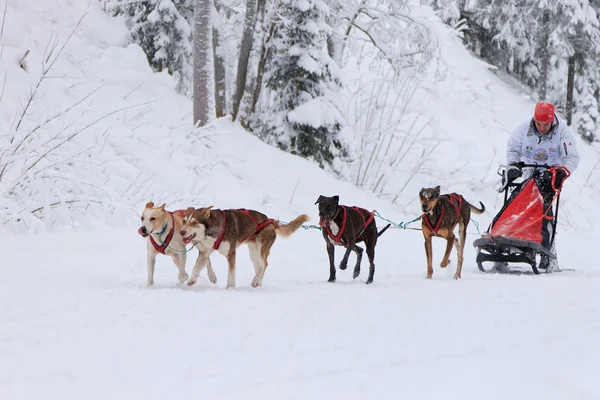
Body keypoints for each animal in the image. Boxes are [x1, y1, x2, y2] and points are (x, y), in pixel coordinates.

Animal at [178, 206, 310, 288]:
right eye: (184, 221)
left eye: (194, 222)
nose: (181, 232)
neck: (211, 231)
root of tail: (270, 221)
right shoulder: (205, 252)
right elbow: (197, 267)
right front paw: (192, 280)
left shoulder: (231, 253)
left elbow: (231, 273)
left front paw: (230, 288)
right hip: (253, 253)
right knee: (259, 266)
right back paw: (258, 281)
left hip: (262, 248)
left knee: (265, 263)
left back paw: (256, 280)